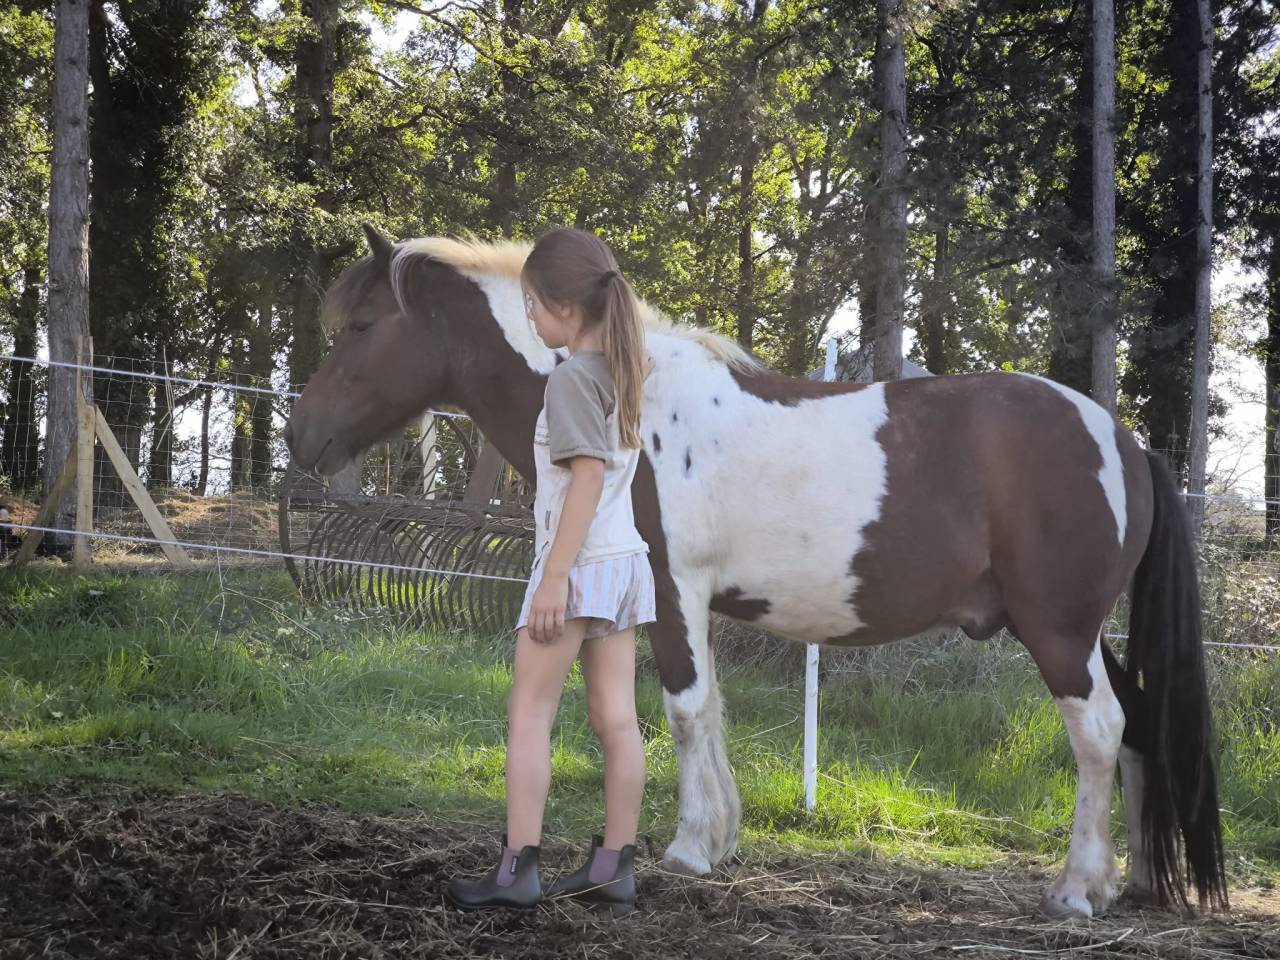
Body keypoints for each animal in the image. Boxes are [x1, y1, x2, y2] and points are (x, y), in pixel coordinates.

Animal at [284, 226, 1227, 918]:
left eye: (362, 326)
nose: (304, 436)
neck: (629, 394)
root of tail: (1123, 440)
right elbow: (683, 715)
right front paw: (702, 840)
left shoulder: (673, 595)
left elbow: (683, 711)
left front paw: (689, 847)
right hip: (1085, 633)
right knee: (1137, 727)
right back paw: (1135, 881)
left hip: (1057, 631)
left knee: (1100, 731)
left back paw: (1075, 891)